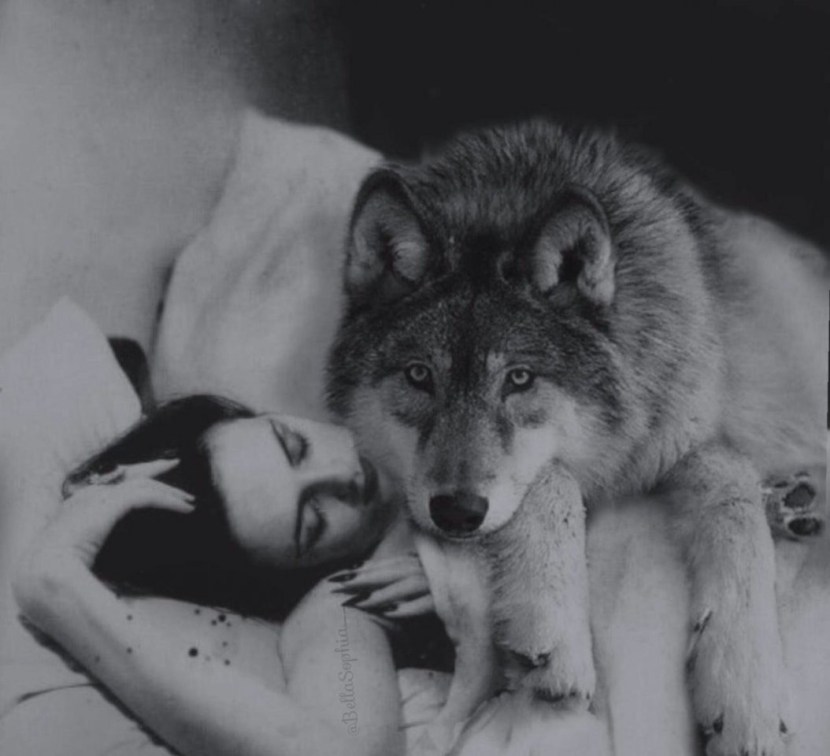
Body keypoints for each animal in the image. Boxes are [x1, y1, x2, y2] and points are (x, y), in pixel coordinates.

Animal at [327, 120, 828, 756]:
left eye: (519, 379)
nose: (456, 513)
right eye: (419, 375)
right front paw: (554, 625)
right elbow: (556, 480)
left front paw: (747, 699)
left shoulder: (687, 440)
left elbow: (737, 517)